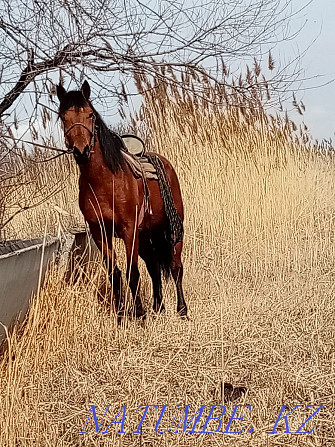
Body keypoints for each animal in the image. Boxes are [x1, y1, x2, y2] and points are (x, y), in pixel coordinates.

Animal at [57, 81, 189, 322]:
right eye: (63, 117)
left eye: (90, 114)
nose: (81, 151)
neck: (105, 181)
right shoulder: (100, 233)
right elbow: (114, 273)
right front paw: (120, 316)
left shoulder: (129, 231)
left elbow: (132, 272)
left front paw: (139, 315)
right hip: (145, 236)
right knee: (154, 269)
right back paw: (158, 307)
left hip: (172, 232)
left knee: (176, 267)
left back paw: (182, 310)